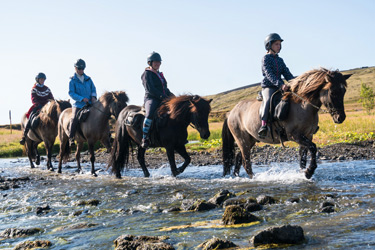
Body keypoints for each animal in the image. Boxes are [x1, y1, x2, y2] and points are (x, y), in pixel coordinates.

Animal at [222, 67, 352, 179]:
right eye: (332, 92)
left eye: (344, 91)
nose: (340, 118)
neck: (303, 106)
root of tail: (231, 112)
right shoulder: (295, 135)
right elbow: (313, 148)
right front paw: (309, 172)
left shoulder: (307, 135)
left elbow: (303, 157)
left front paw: (304, 173)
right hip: (242, 140)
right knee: (246, 162)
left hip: (250, 140)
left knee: (239, 158)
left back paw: (237, 176)